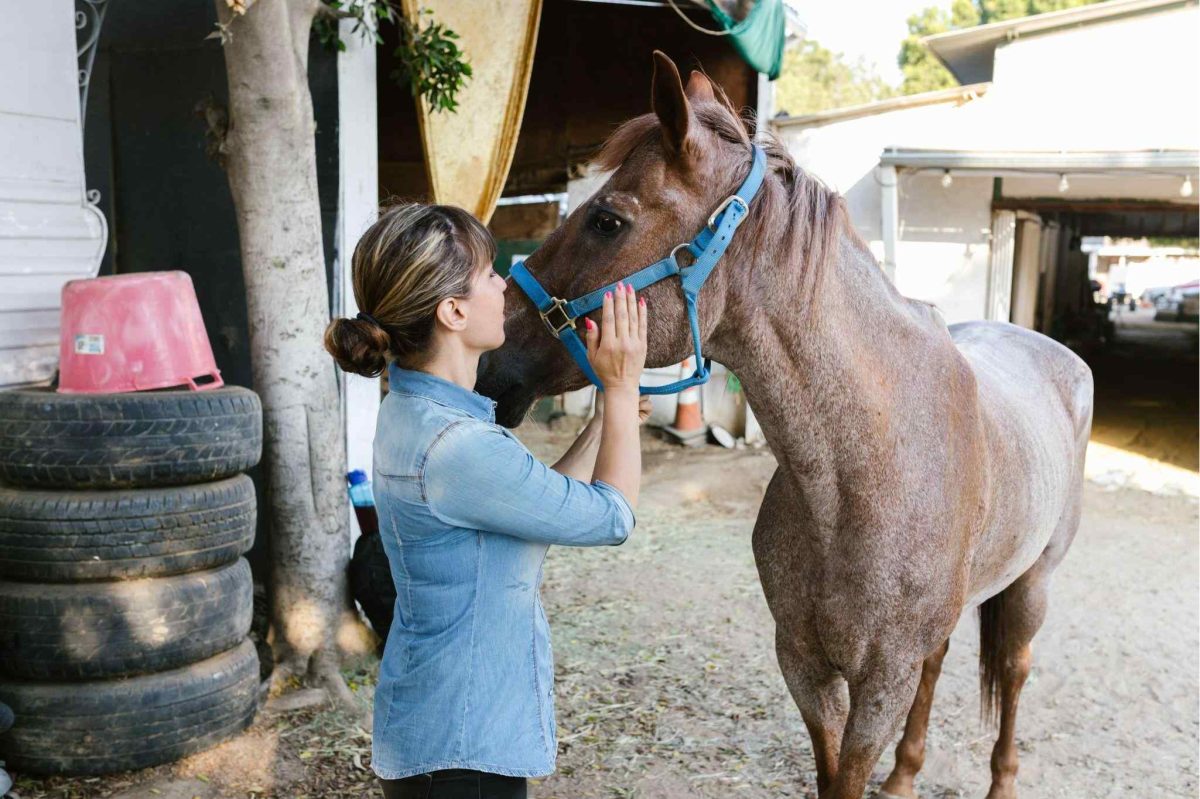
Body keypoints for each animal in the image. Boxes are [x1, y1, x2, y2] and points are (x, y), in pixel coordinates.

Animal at [472, 51, 1094, 796]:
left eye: (606, 220)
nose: (489, 357)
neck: (861, 475)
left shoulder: (879, 683)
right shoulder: (803, 664)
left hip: (1032, 586)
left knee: (1015, 670)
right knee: (942, 663)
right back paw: (905, 775)